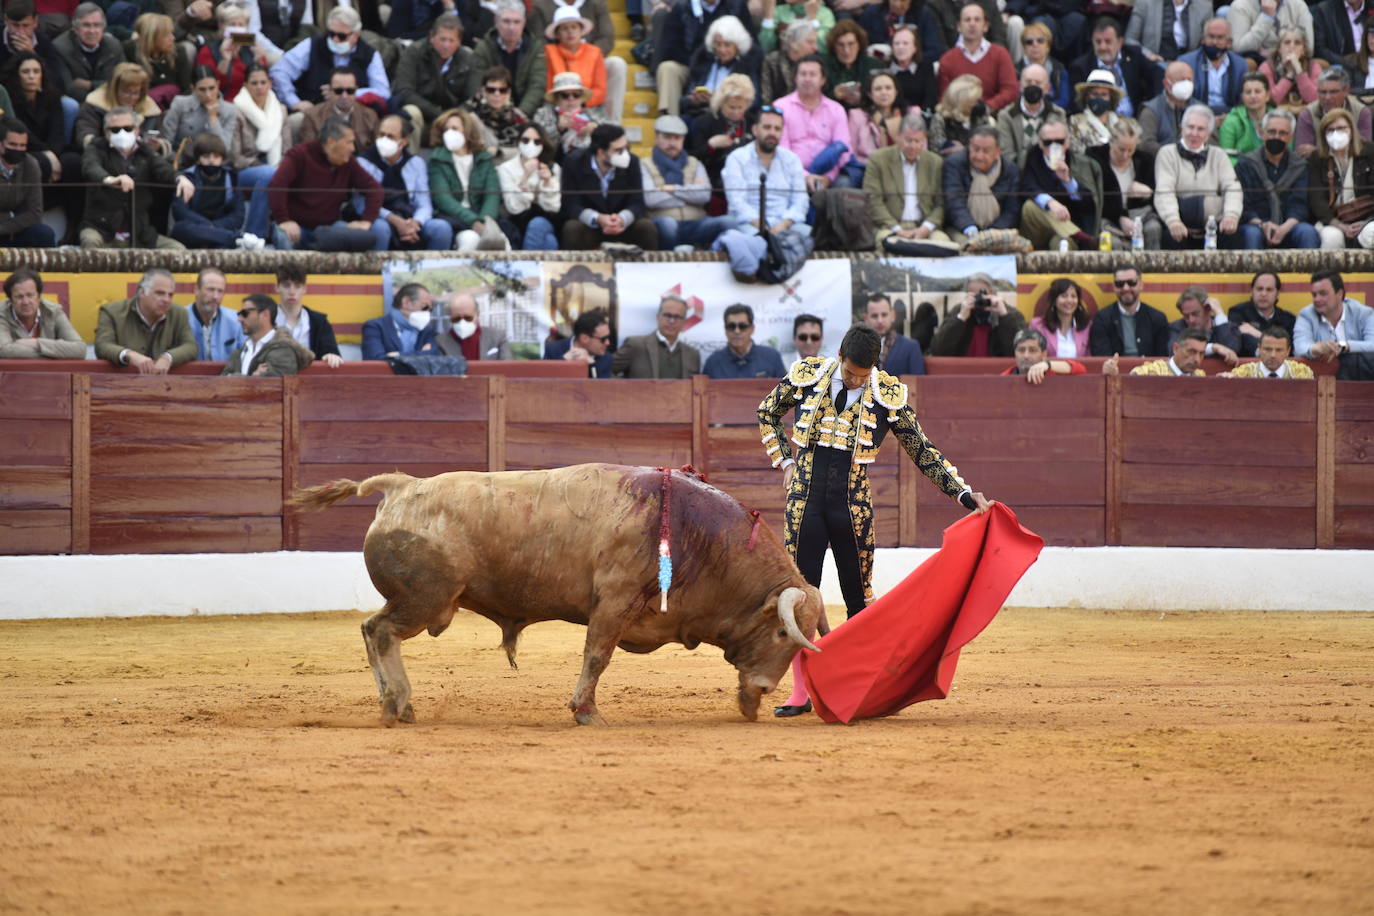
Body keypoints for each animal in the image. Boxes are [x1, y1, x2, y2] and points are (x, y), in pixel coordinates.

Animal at [287, 469, 824, 725]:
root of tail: (401, 486)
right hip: (425, 600)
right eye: (783, 633)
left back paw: (399, 705)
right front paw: (587, 712)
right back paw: (396, 704)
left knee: (373, 631)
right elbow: (597, 656)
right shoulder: (613, 603)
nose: (762, 691)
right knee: (379, 631)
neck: (696, 536)